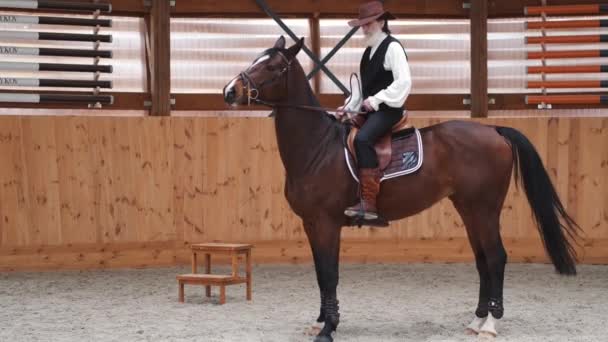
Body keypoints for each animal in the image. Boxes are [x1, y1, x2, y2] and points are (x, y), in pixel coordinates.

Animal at [223, 36, 580, 340]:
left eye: (272, 66)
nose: (229, 90)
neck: (318, 148)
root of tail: (494, 130)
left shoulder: (326, 223)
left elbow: (330, 274)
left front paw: (329, 328)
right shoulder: (311, 224)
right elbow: (320, 274)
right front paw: (321, 321)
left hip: (485, 208)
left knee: (496, 257)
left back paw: (490, 324)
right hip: (469, 208)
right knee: (482, 259)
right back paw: (477, 319)